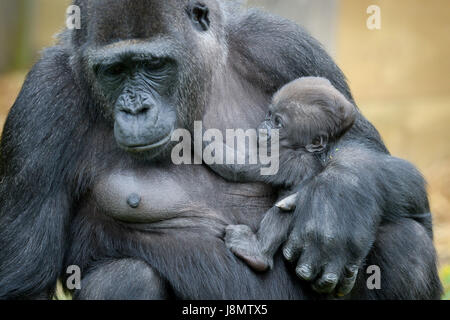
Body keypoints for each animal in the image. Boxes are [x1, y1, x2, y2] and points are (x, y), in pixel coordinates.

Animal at [223, 76, 356, 272]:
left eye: (278, 123)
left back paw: (257, 253)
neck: (303, 149)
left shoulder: (286, 158)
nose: (264, 125)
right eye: (269, 114)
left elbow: (237, 167)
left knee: (281, 213)